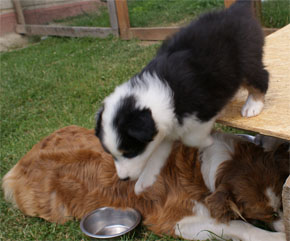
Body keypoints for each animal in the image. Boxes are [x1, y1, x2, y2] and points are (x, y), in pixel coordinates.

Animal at [2, 126, 288, 241]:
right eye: (269, 214)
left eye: (282, 208)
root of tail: (20, 162)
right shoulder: (174, 220)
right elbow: (240, 226)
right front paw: (276, 236)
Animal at [95, 0, 270, 194]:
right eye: (111, 154)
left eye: (130, 152)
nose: (123, 179)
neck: (164, 92)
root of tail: (235, 10)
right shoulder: (164, 129)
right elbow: (158, 154)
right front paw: (144, 183)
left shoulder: (203, 110)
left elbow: (191, 138)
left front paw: (209, 142)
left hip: (246, 59)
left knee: (261, 77)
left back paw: (253, 105)